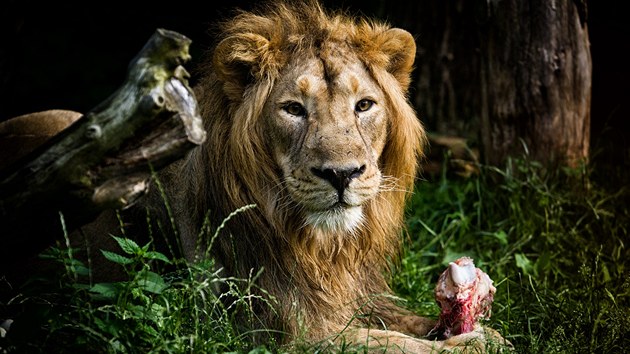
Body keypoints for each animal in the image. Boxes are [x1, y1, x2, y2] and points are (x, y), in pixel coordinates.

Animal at [0, 1, 508, 352]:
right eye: (293, 109)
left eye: (364, 105)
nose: (342, 174)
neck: (324, 249)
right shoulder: (288, 334)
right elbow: (395, 345)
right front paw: (473, 343)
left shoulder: (359, 300)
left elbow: (409, 323)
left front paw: (478, 329)